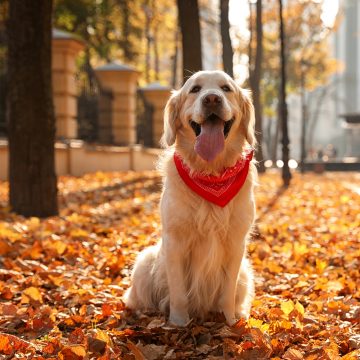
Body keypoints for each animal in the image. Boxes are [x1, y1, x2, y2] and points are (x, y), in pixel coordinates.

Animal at [125, 70, 258, 326]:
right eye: (195, 89)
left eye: (226, 88)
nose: (212, 99)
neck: (211, 173)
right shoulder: (174, 240)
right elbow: (178, 292)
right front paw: (178, 323)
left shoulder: (236, 242)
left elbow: (227, 291)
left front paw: (230, 322)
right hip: (145, 260)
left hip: (246, 272)